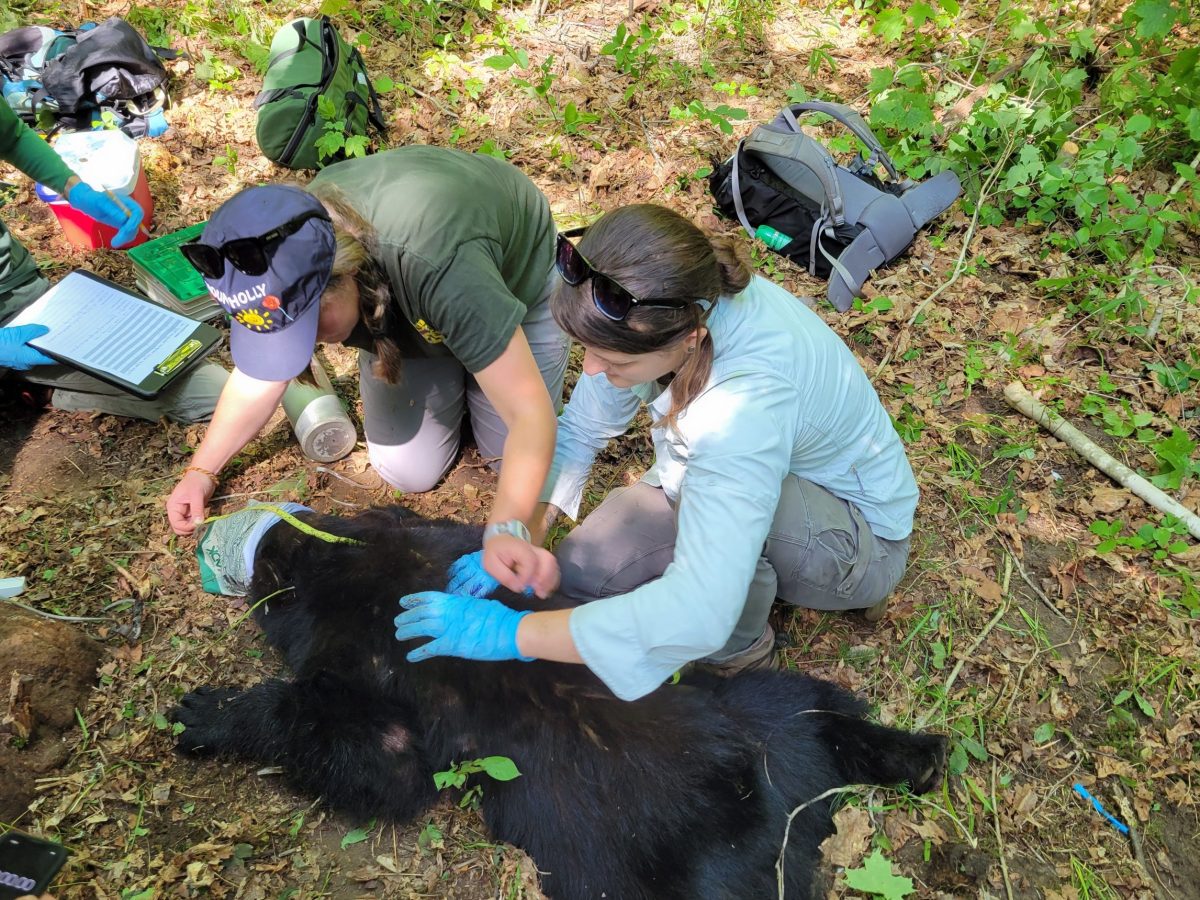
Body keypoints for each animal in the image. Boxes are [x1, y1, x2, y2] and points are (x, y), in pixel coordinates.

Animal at [172, 507, 946, 899]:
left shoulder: (363, 665)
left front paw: (206, 715)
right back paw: (918, 755)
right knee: (818, 708)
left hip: (633, 877)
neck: (346, 561)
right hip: (766, 713)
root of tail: (781, 816)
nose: (260, 531)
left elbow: (376, 761)